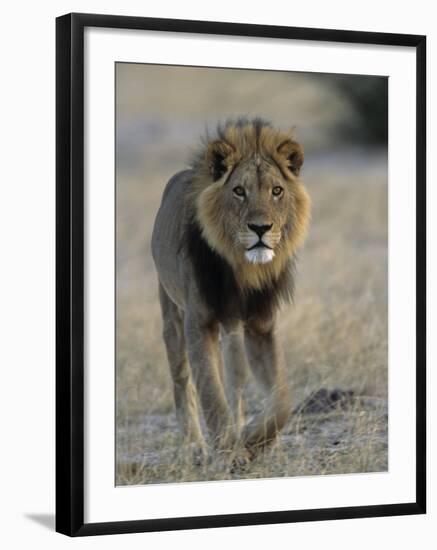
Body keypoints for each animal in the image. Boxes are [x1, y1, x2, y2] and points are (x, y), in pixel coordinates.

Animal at [151, 118, 310, 464]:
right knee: (182, 379)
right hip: (172, 314)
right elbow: (211, 393)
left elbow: (282, 400)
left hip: (233, 330)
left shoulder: (261, 326)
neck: (243, 269)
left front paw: (252, 439)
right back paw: (195, 446)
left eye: (277, 191)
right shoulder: (199, 321)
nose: (261, 228)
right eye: (239, 191)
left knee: (235, 379)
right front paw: (227, 451)